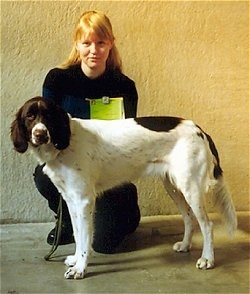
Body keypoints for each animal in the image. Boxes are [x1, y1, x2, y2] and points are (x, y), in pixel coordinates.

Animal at [10, 97, 236, 280]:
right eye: (30, 116)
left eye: (48, 116)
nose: (40, 134)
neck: (65, 143)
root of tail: (199, 129)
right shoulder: (70, 200)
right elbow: (77, 233)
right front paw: (75, 260)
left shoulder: (84, 200)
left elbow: (85, 237)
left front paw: (80, 268)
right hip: (174, 186)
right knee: (189, 218)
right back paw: (185, 246)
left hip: (190, 187)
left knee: (207, 225)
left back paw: (207, 259)